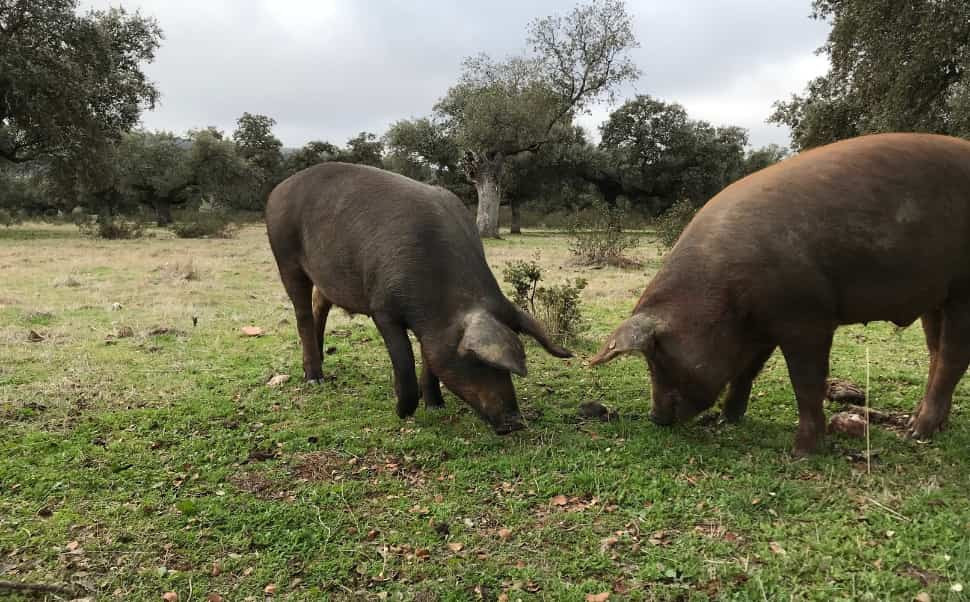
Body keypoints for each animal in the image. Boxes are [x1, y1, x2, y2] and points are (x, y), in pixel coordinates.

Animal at [260, 161, 572, 432]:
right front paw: (404, 412)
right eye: (478, 362)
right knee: (301, 313)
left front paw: (435, 405)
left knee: (319, 305)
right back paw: (315, 379)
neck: (438, 302)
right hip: (285, 255)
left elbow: (429, 356)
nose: (516, 422)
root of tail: (278, 189)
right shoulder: (383, 308)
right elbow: (404, 358)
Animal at [588, 130, 968, 450]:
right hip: (937, 295)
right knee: (935, 352)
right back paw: (920, 424)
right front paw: (727, 420)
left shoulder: (806, 316)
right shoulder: (762, 325)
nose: (655, 418)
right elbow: (747, 370)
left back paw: (917, 433)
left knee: (953, 355)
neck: (721, 294)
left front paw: (802, 452)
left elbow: (806, 381)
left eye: (657, 356)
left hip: (963, 287)